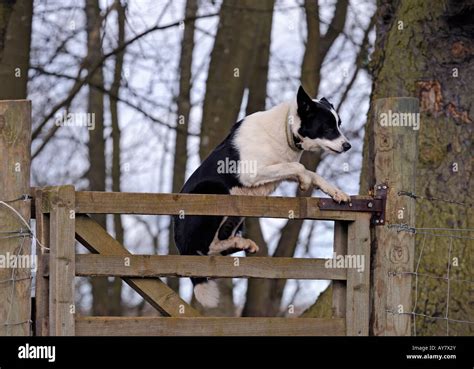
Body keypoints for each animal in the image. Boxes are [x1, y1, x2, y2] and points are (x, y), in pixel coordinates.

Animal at [174, 85, 352, 306]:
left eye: (339, 124)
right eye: (327, 127)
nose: (348, 146)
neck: (285, 129)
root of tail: (182, 248)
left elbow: (311, 173)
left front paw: (336, 192)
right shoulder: (251, 173)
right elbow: (299, 167)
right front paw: (304, 182)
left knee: (219, 244)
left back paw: (240, 242)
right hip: (214, 191)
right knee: (208, 247)